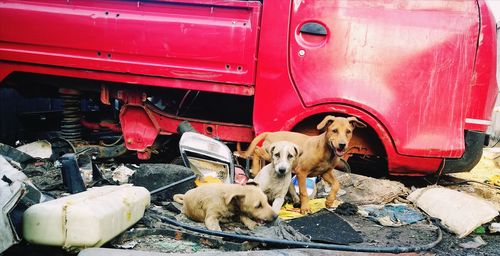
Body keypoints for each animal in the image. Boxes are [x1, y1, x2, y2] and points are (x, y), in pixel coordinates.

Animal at [236, 116, 366, 214]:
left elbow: (336, 184)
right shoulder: (302, 172)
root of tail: (271, 134)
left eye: (348, 132)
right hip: (269, 154)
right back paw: (255, 169)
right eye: (334, 130)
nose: (342, 145)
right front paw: (305, 208)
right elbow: (304, 192)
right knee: (257, 150)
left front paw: (329, 201)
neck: (326, 151)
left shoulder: (325, 173)